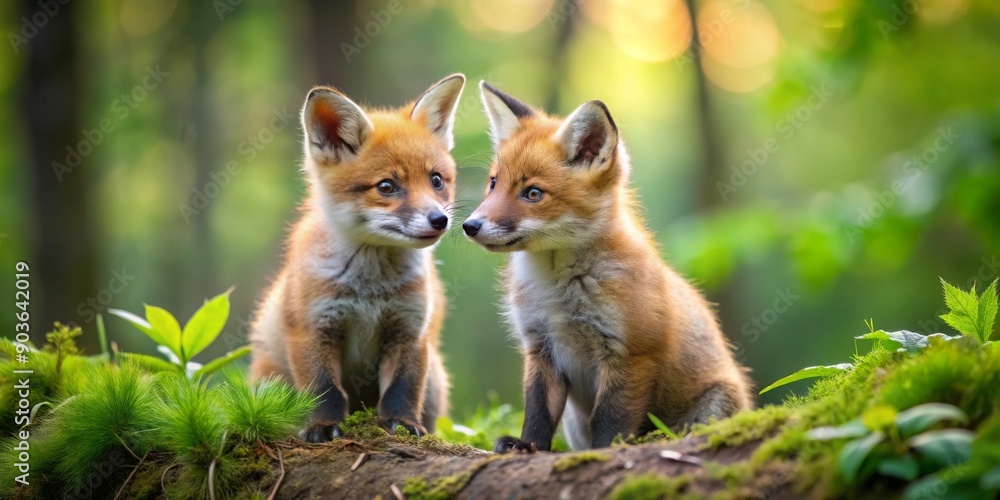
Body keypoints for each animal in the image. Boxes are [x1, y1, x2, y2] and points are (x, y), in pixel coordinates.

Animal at [249, 74, 466, 442]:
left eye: (436, 180)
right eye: (387, 187)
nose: (440, 220)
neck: (370, 290)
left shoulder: (409, 330)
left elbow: (402, 390)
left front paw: (402, 425)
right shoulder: (312, 329)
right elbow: (324, 390)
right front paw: (322, 426)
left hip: (436, 377)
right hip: (270, 380)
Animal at [463, 81, 753, 452]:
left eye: (533, 193)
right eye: (493, 184)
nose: (469, 226)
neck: (559, 294)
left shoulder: (630, 353)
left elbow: (610, 421)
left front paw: (603, 453)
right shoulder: (541, 347)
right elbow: (538, 412)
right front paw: (527, 446)